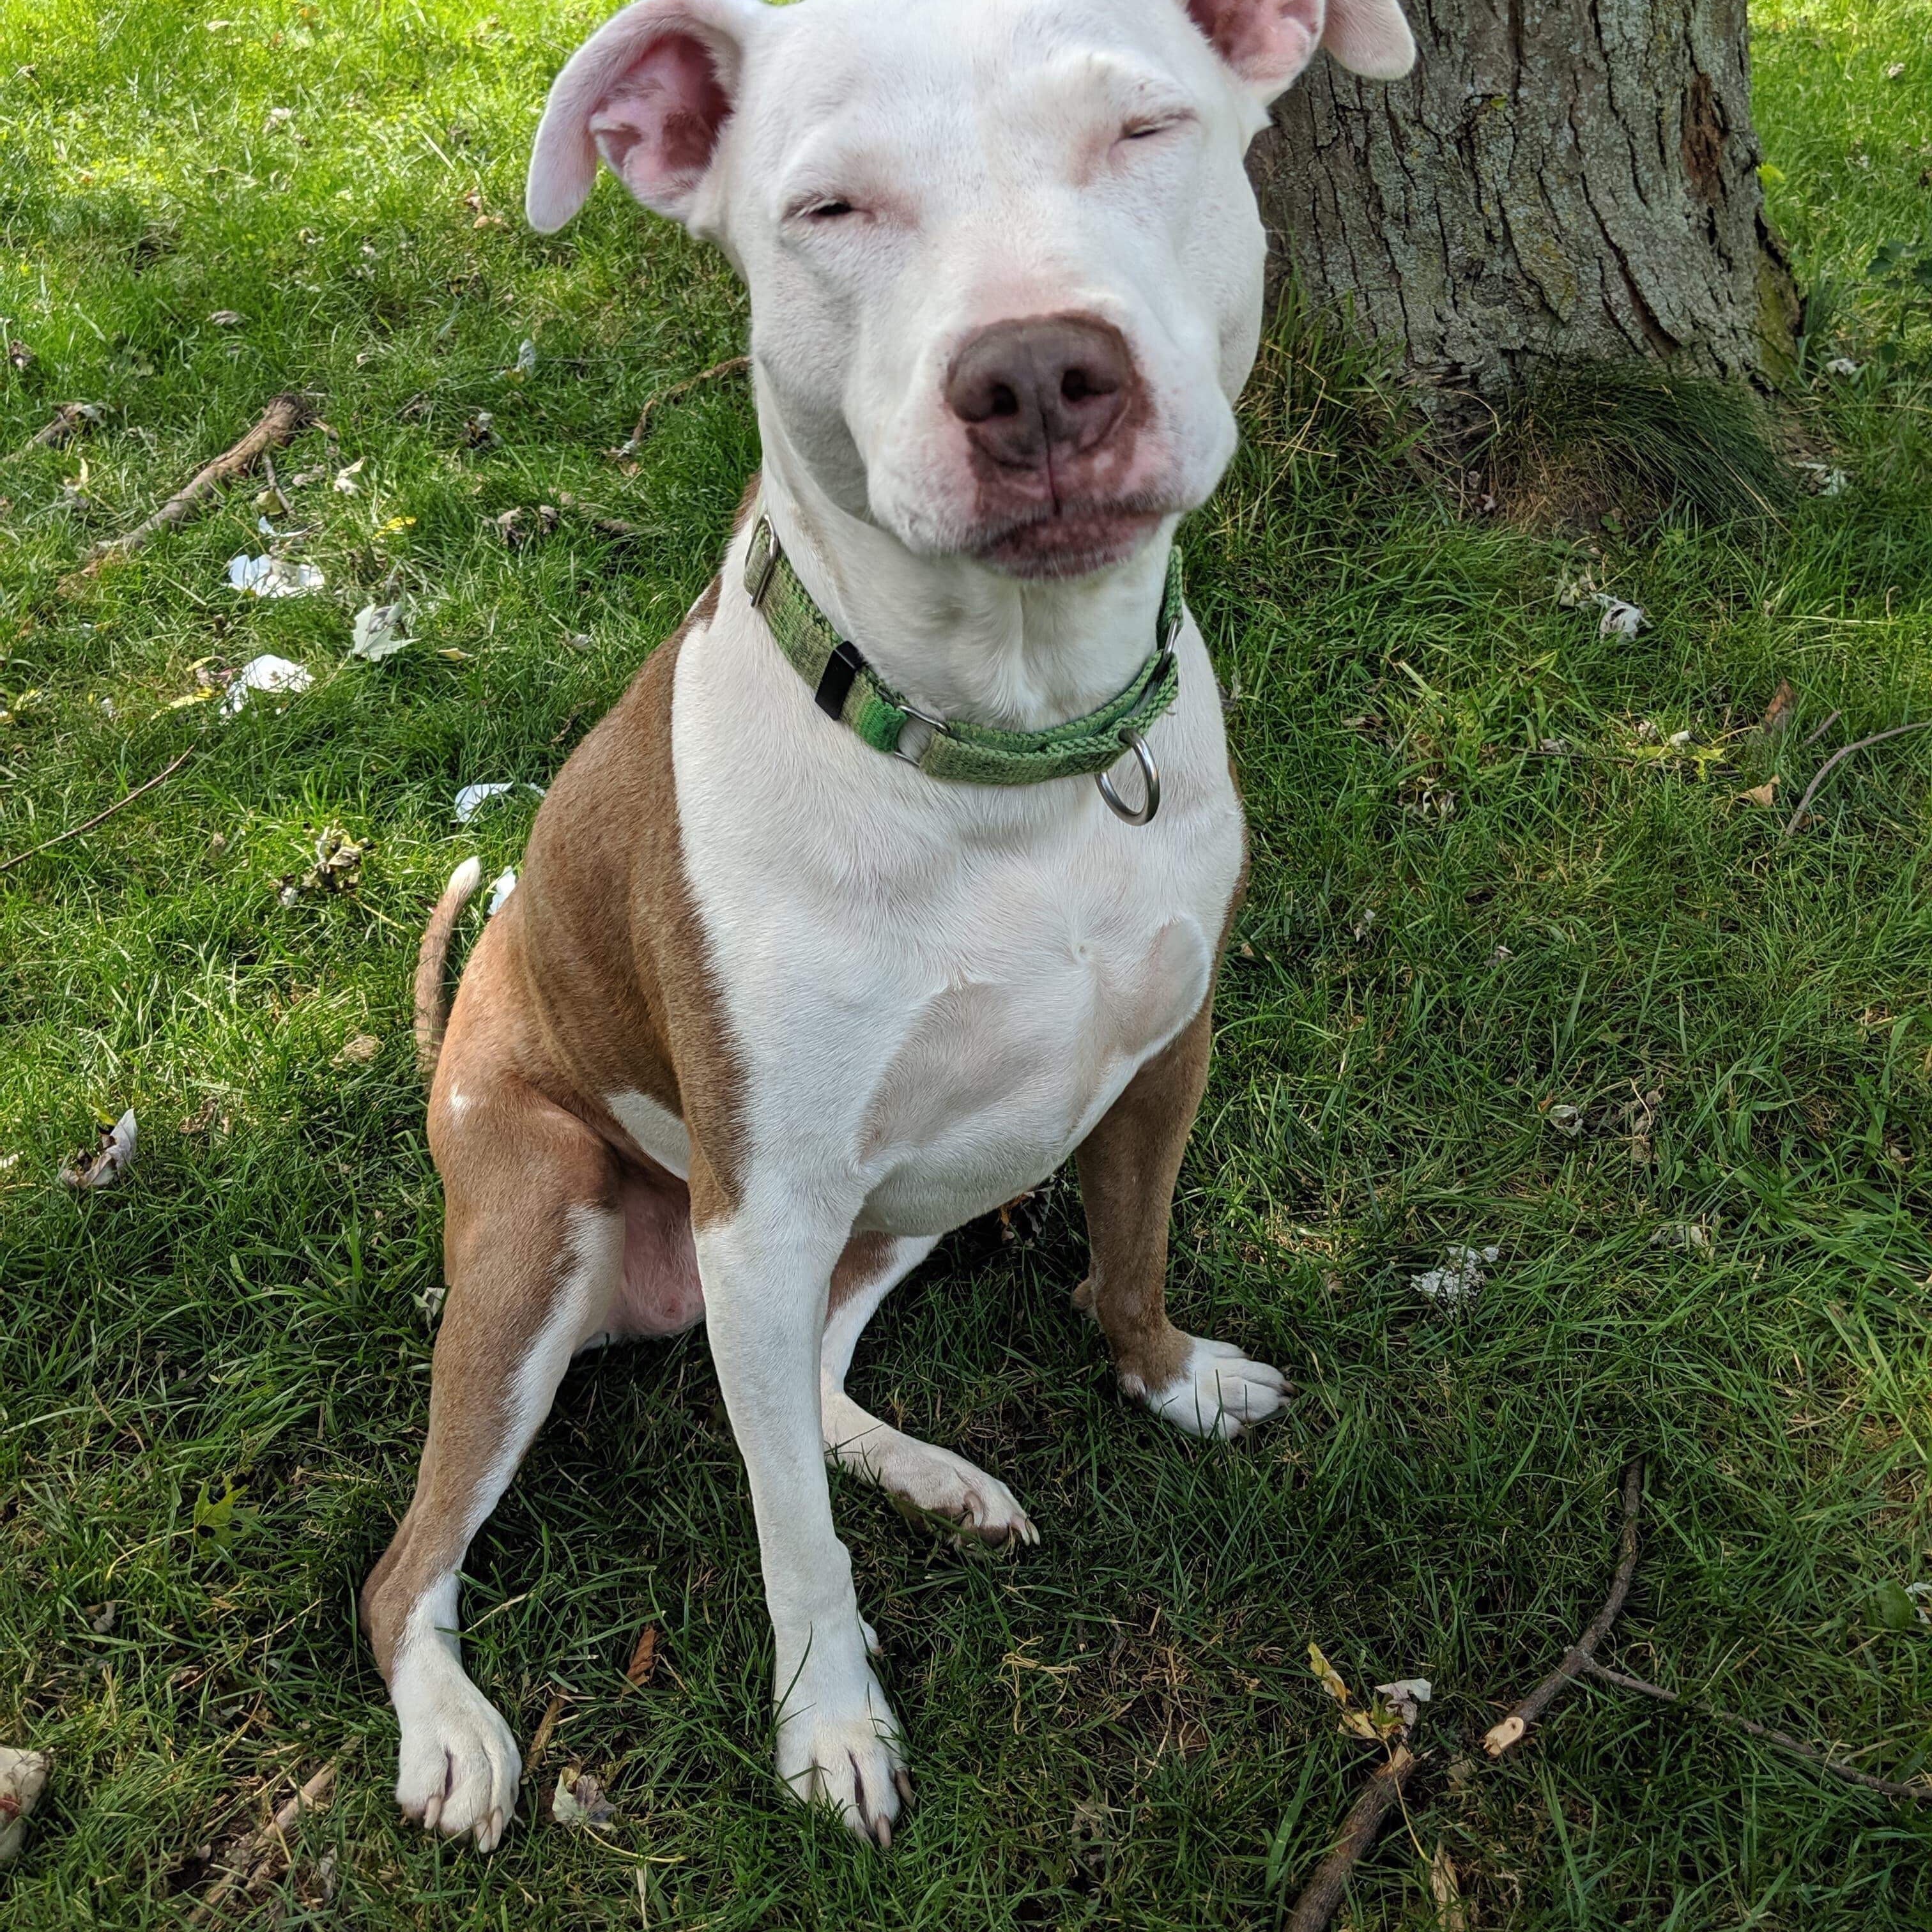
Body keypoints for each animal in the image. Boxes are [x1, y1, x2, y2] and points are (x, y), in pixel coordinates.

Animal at [365, 0, 1422, 1855]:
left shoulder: (1164, 1056)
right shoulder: (765, 1213)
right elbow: (790, 1541)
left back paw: (931, 1471)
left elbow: (1129, 1254)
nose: (1040, 373)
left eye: (1145, 130)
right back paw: (450, 1727)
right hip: (543, 1231)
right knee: (428, 1555)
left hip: (911, 1202)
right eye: (830, 208)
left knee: (804, 1398)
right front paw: (831, 1728)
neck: (1020, 740)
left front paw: (1172, 1377)